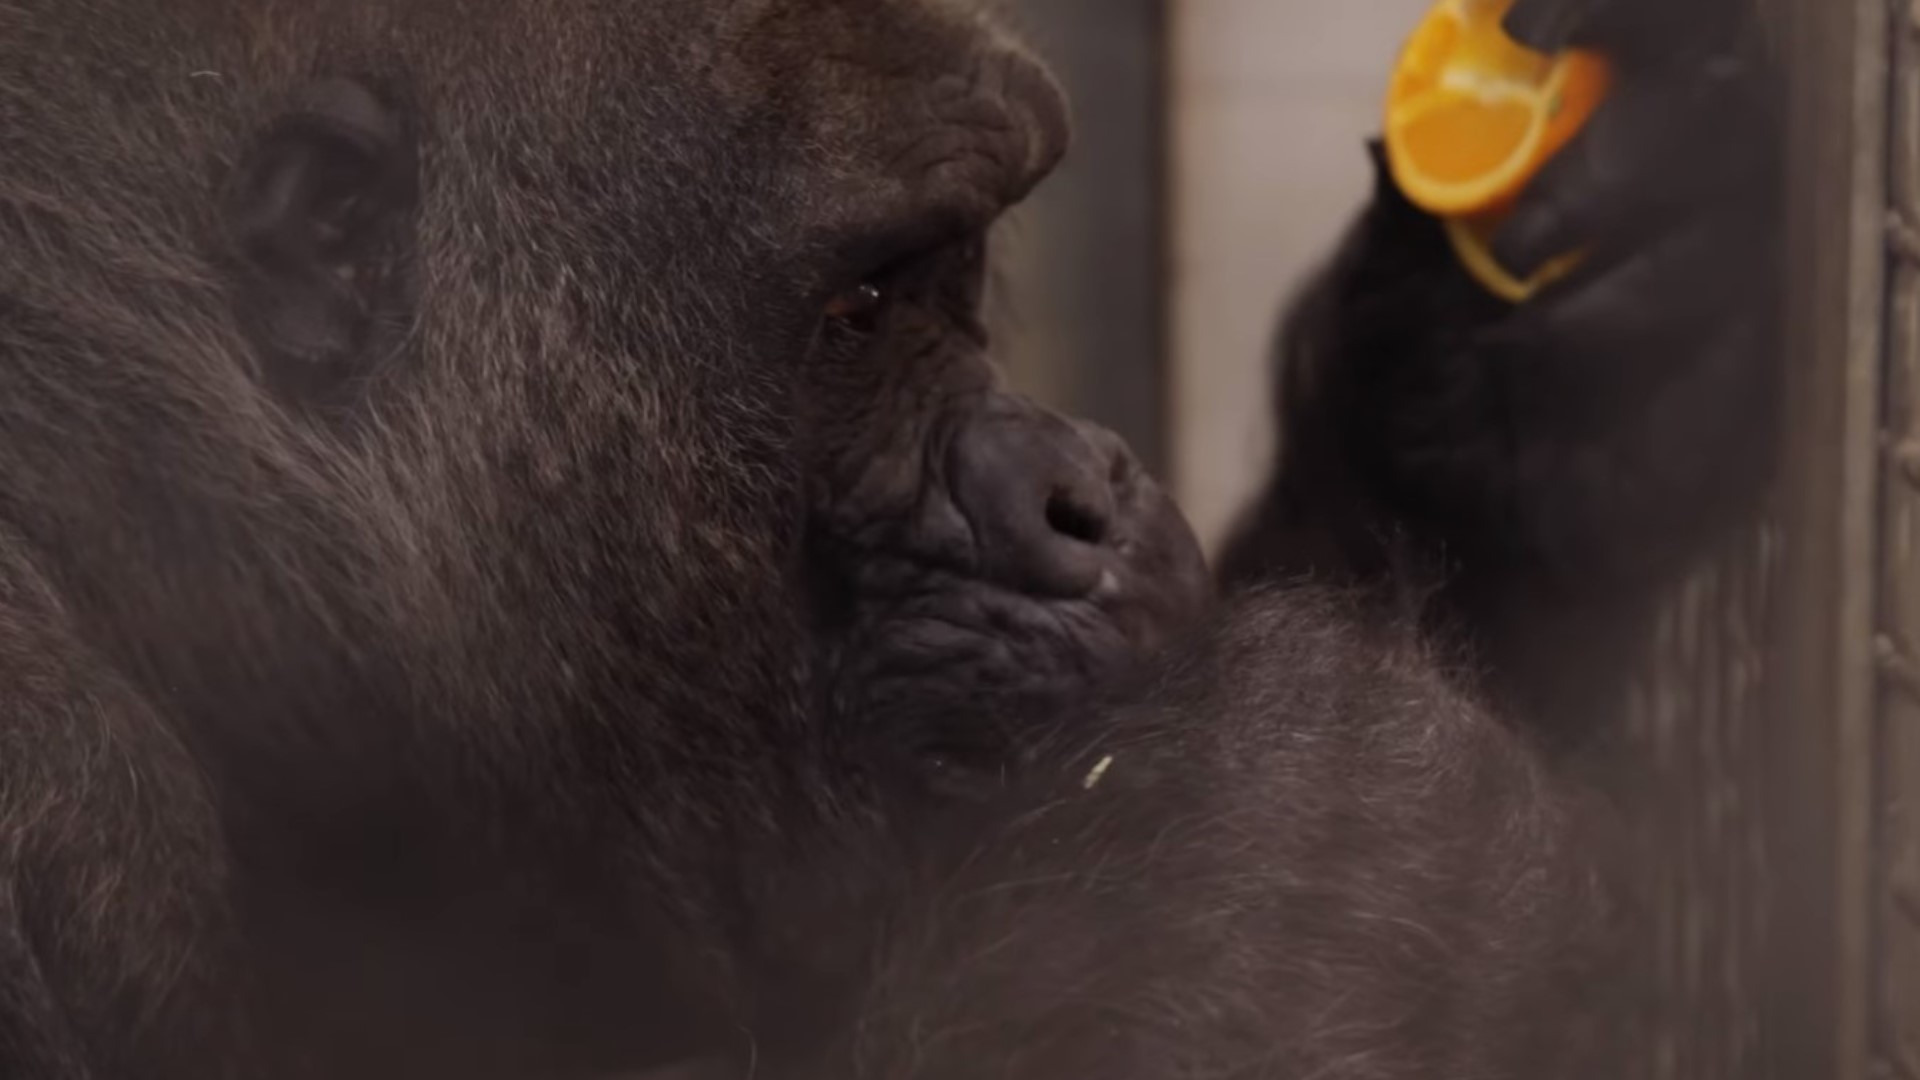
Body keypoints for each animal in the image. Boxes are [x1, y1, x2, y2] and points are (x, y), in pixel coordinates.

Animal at [0, 0, 1766, 1068]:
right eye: (859, 308)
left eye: (964, 263)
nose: (1089, 488)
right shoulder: (57, 783)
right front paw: (1316, 873)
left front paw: (1519, 375)